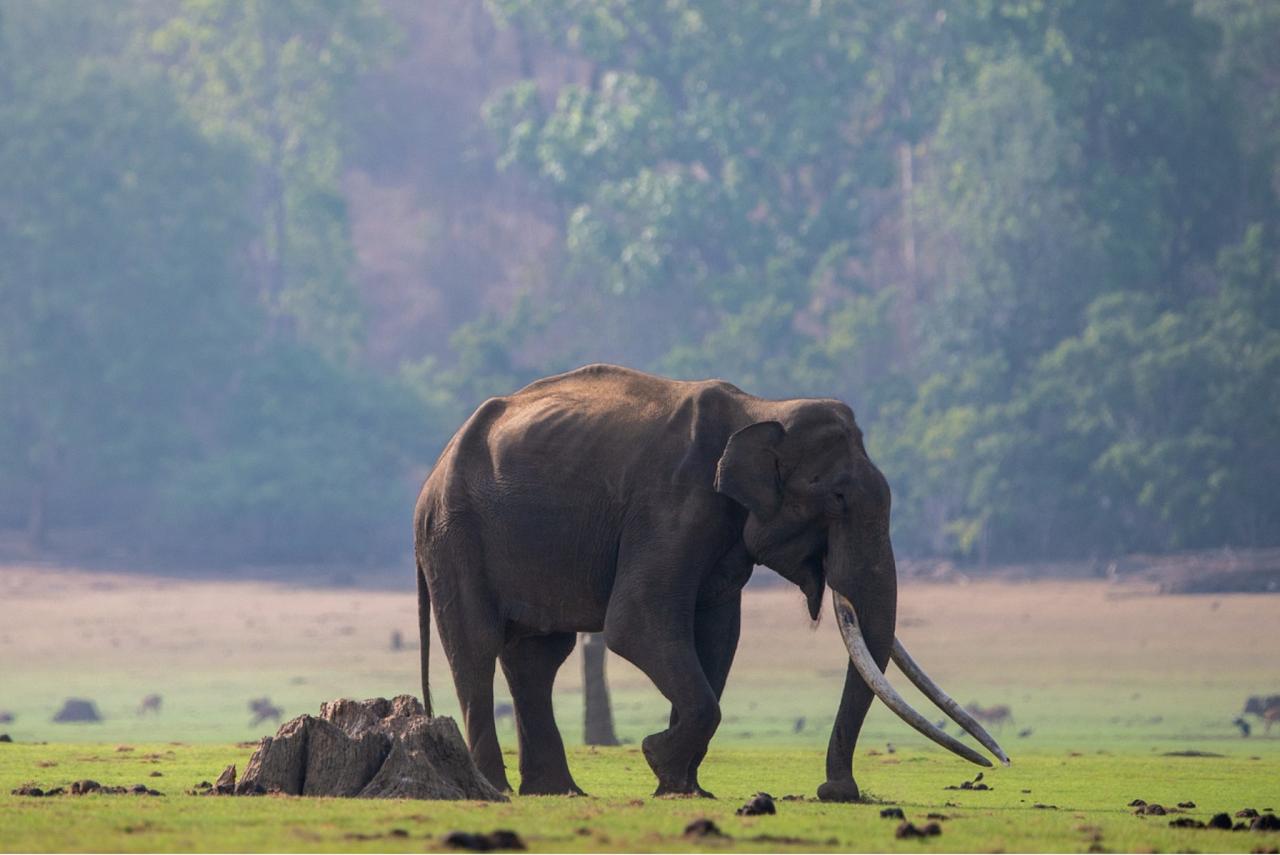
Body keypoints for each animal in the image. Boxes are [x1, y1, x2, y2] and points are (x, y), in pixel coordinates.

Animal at [414, 364, 1008, 800]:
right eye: (838, 498)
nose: (834, 791)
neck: (763, 409)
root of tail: (433, 474)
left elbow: (718, 636)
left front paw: (682, 787)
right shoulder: (672, 505)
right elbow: (636, 624)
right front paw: (659, 757)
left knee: (537, 657)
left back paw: (559, 793)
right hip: (454, 535)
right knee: (476, 647)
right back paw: (496, 790)